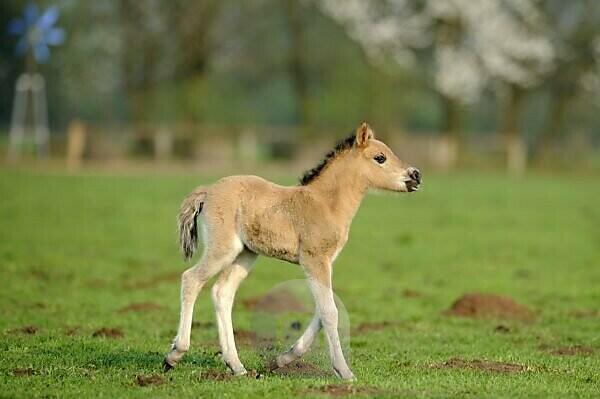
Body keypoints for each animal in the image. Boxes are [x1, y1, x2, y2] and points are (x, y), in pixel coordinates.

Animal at [162, 122, 420, 382]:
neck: (326, 204)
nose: (416, 175)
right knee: (191, 279)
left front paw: (281, 360)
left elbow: (323, 309)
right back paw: (174, 355)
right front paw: (344, 372)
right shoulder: (314, 260)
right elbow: (329, 311)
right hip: (223, 249)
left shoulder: (325, 263)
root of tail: (208, 190)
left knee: (222, 292)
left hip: (245, 254)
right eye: (380, 157)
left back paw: (236, 366)